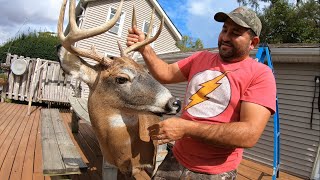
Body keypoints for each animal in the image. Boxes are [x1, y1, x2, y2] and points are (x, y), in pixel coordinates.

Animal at [56, 0, 181, 179]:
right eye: (121, 78)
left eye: (146, 71)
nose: (175, 102)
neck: (124, 153)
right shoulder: (110, 165)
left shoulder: (155, 159)